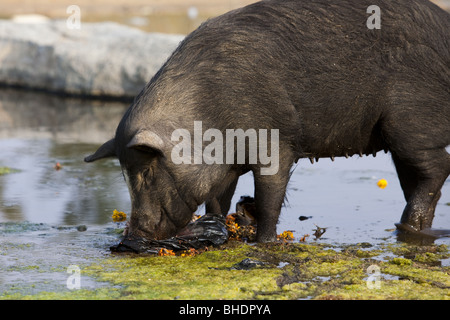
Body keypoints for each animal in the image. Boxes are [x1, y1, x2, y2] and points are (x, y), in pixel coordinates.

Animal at [85, 0, 450, 245]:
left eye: (146, 172)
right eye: (125, 173)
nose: (135, 234)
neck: (208, 112)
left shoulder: (275, 140)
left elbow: (270, 193)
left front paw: (263, 242)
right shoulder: (225, 166)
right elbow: (219, 197)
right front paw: (221, 226)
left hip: (409, 124)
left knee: (438, 166)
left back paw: (407, 226)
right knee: (416, 177)